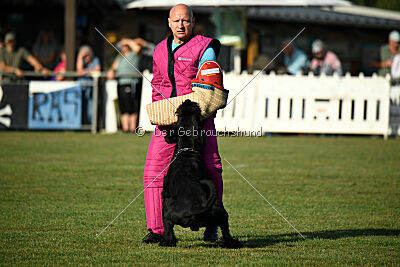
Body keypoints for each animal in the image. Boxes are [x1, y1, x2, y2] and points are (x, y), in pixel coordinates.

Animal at [160, 100, 242, 249]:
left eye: (177, 114)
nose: (188, 101)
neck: (187, 151)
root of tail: (195, 209)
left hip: (166, 210)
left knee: (169, 232)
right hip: (220, 211)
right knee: (224, 228)